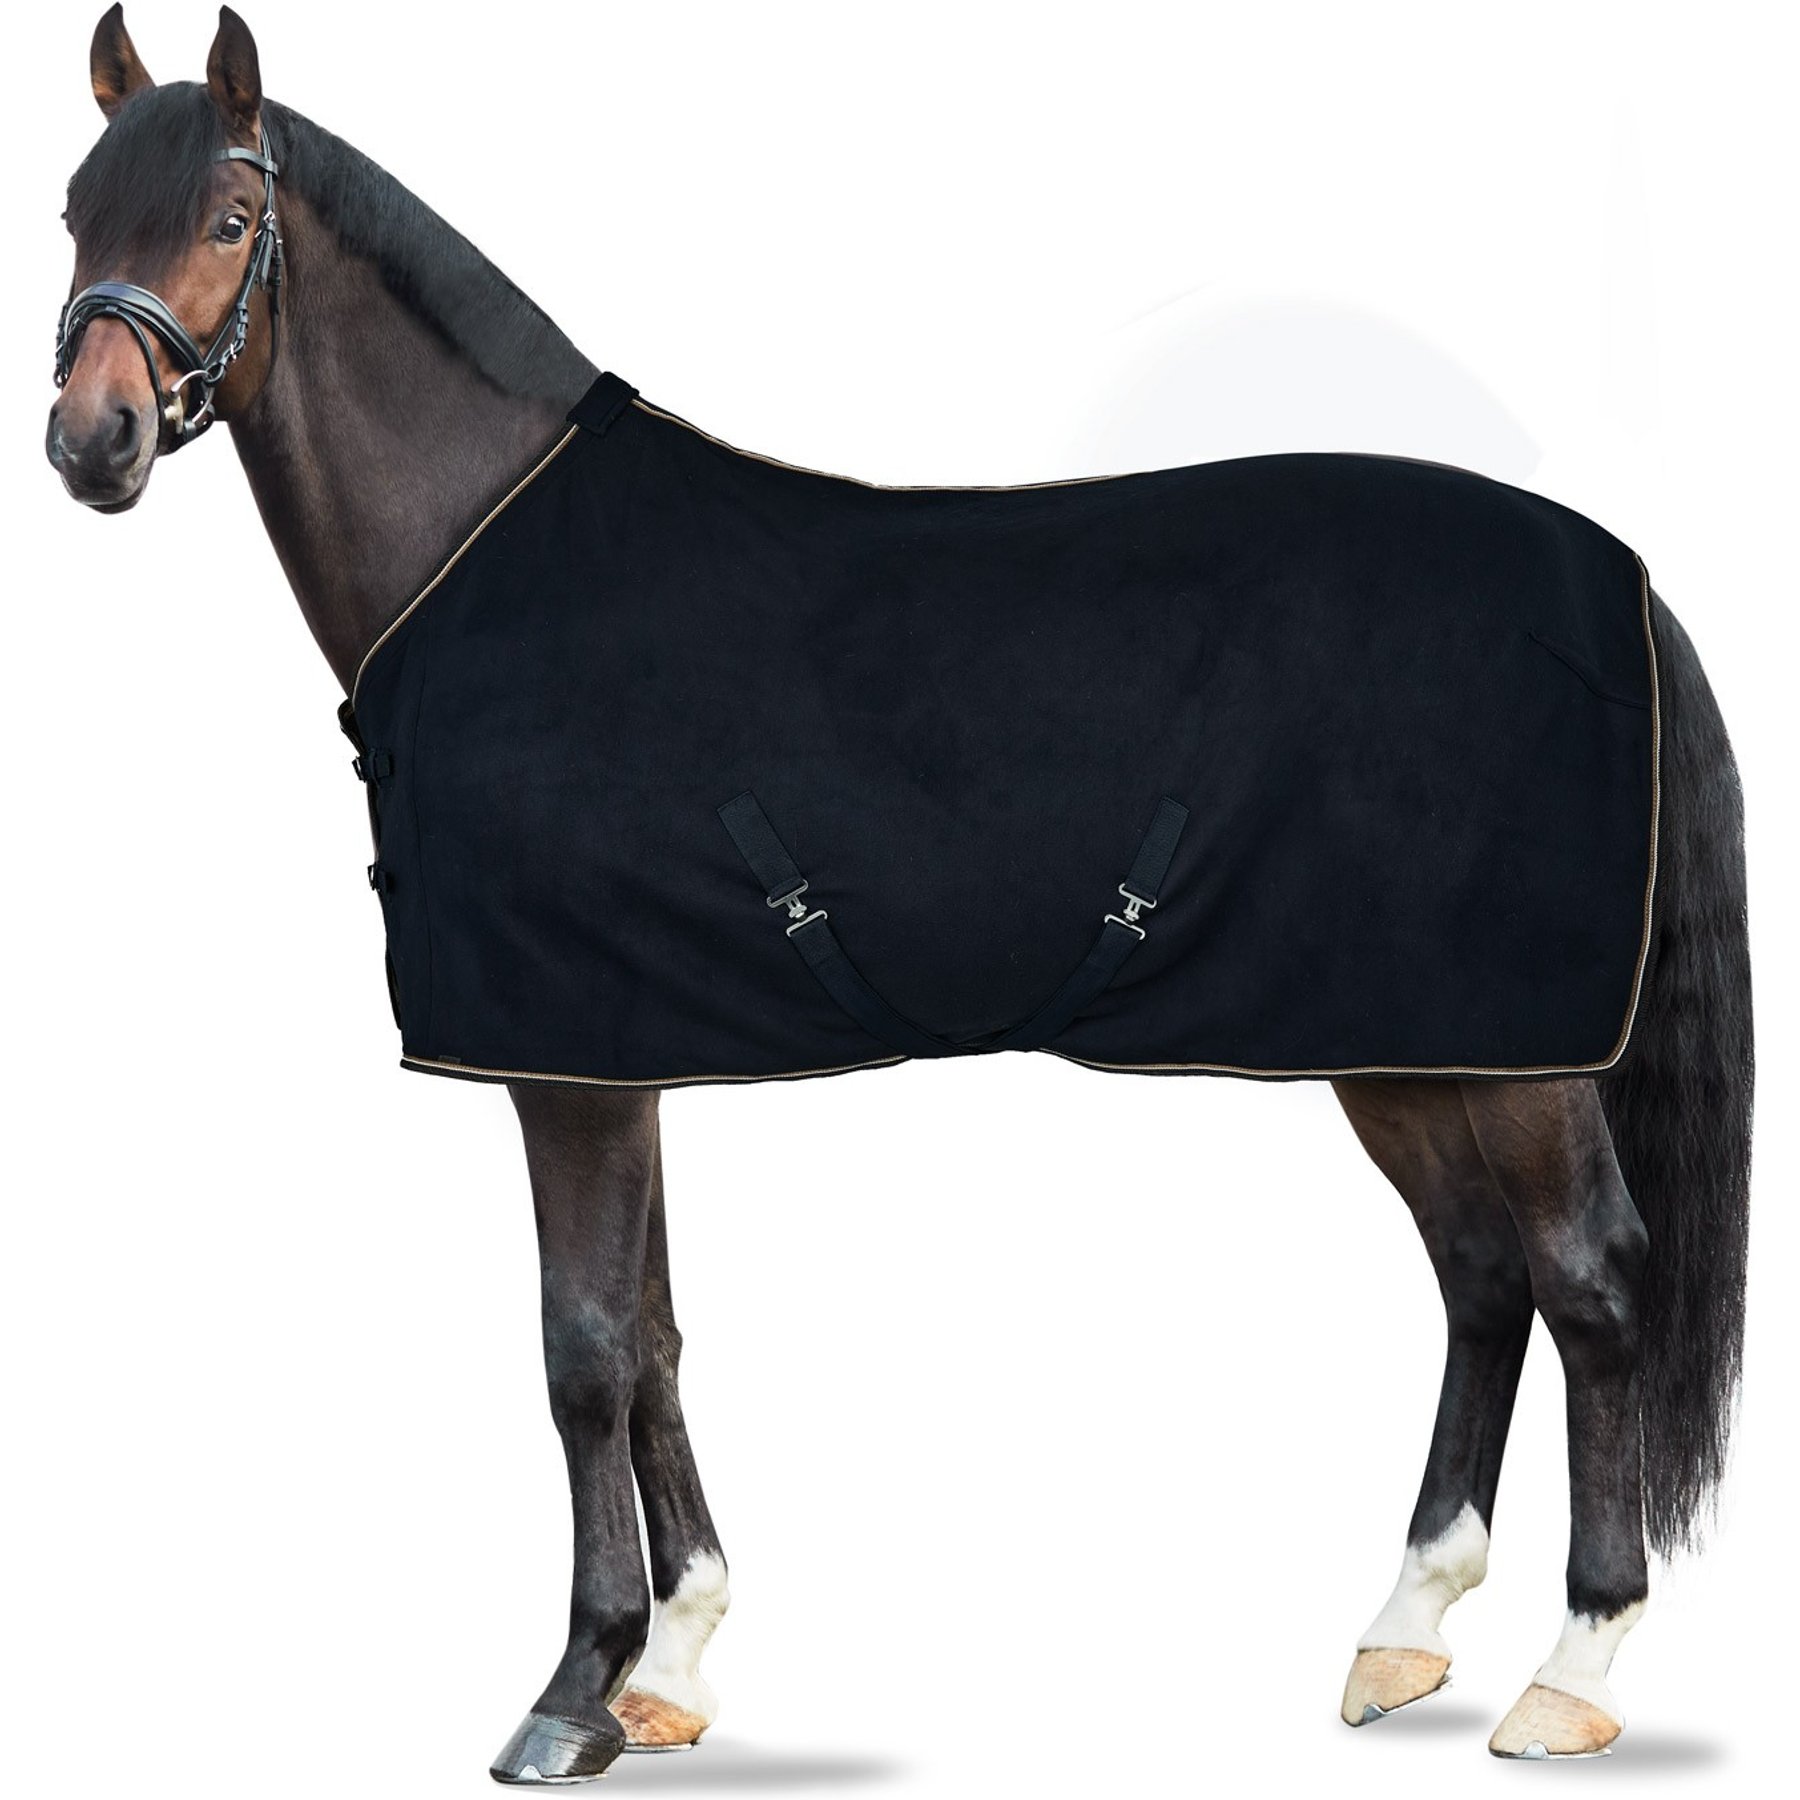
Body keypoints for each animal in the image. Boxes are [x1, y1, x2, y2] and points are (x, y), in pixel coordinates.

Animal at [47, 6, 1752, 1781]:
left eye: (225, 222)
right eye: (73, 217)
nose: (92, 442)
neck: (492, 556)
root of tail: (1619, 580)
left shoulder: (562, 1066)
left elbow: (582, 1349)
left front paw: (574, 1688)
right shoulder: (623, 1051)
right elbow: (655, 1333)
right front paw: (676, 1663)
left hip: (1522, 1057)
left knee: (1593, 1282)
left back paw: (1575, 1668)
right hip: (1405, 1040)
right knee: (1483, 1277)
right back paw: (1405, 1630)